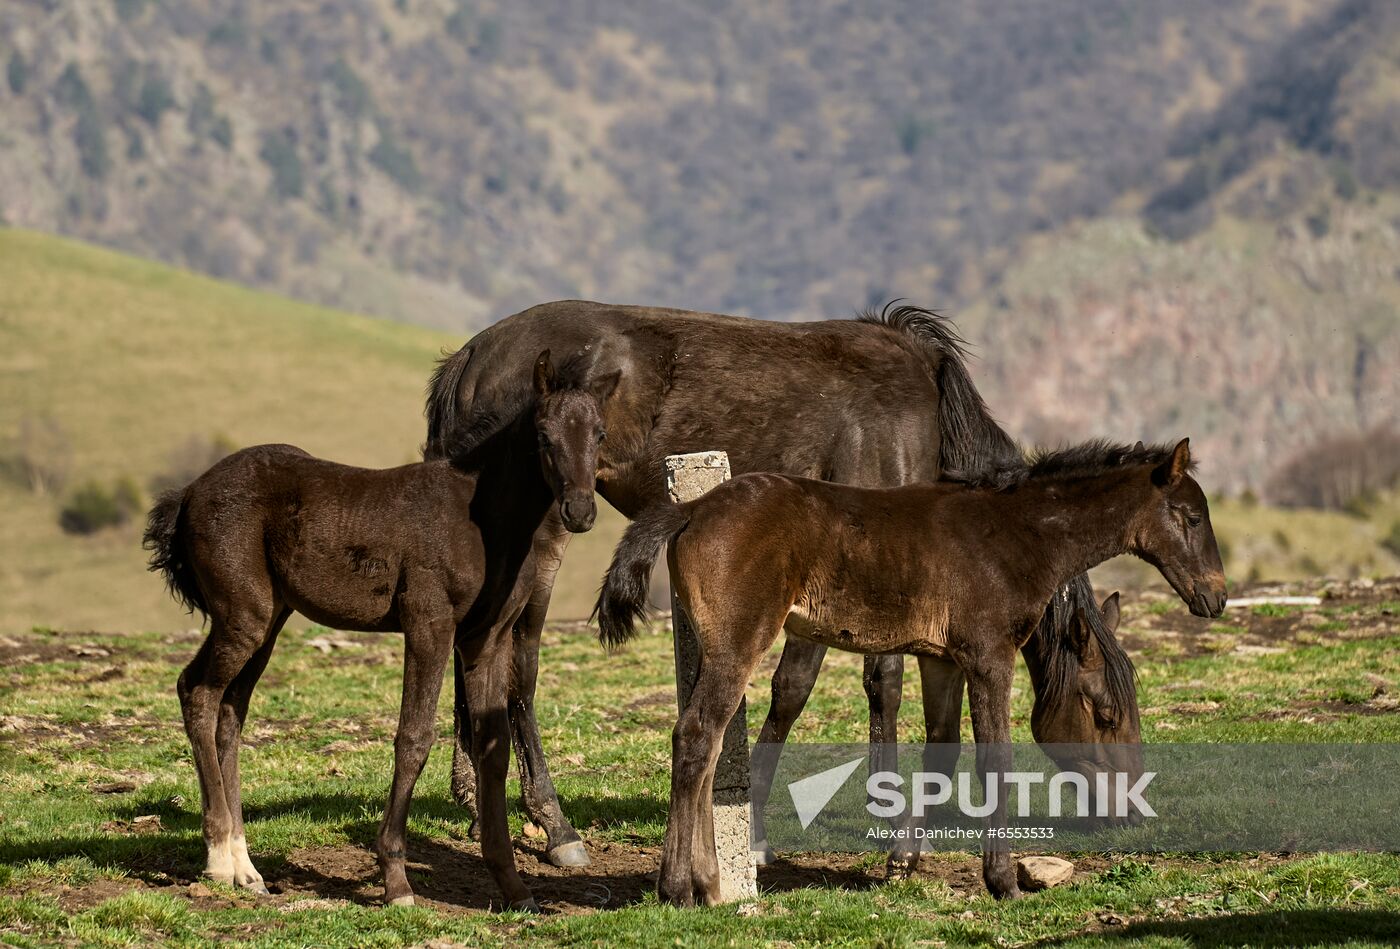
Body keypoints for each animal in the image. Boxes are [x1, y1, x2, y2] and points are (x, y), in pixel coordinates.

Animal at [143, 351, 618, 912]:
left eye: (600, 433)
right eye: (543, 435)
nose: (580, 511)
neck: (479, 517)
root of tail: (188, 493)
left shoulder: (486, 640)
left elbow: (493, 746)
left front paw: (514, 886)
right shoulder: (429, 623)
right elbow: (413, 737)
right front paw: (396, 881)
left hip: (269, 620)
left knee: (229, 711)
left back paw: (246, 868)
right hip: (244, 615)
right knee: (196, 691)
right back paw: (219, 860)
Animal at [422, 300, 1136, 873]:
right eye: (1104, 711)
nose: (1128, 810)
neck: (923, 414)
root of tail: (471, 356)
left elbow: (825, 688)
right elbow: (854, 686)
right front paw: (870, 835)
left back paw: (472, 794)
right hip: (543, 534)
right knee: (520, 663)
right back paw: (555, 826)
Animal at [596, 439, 1232, 907]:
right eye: (1190, 517)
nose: (1216, 597)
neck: (1017, 535)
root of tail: (692, 508)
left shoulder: (941, 658)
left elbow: (942, 751)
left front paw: (902, 860)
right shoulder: (987, 655)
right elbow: (993, 760)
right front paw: (1002, 882)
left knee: (703, 742)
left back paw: (704, 881)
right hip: (738, 643)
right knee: (697, 737)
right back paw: (685, 887)